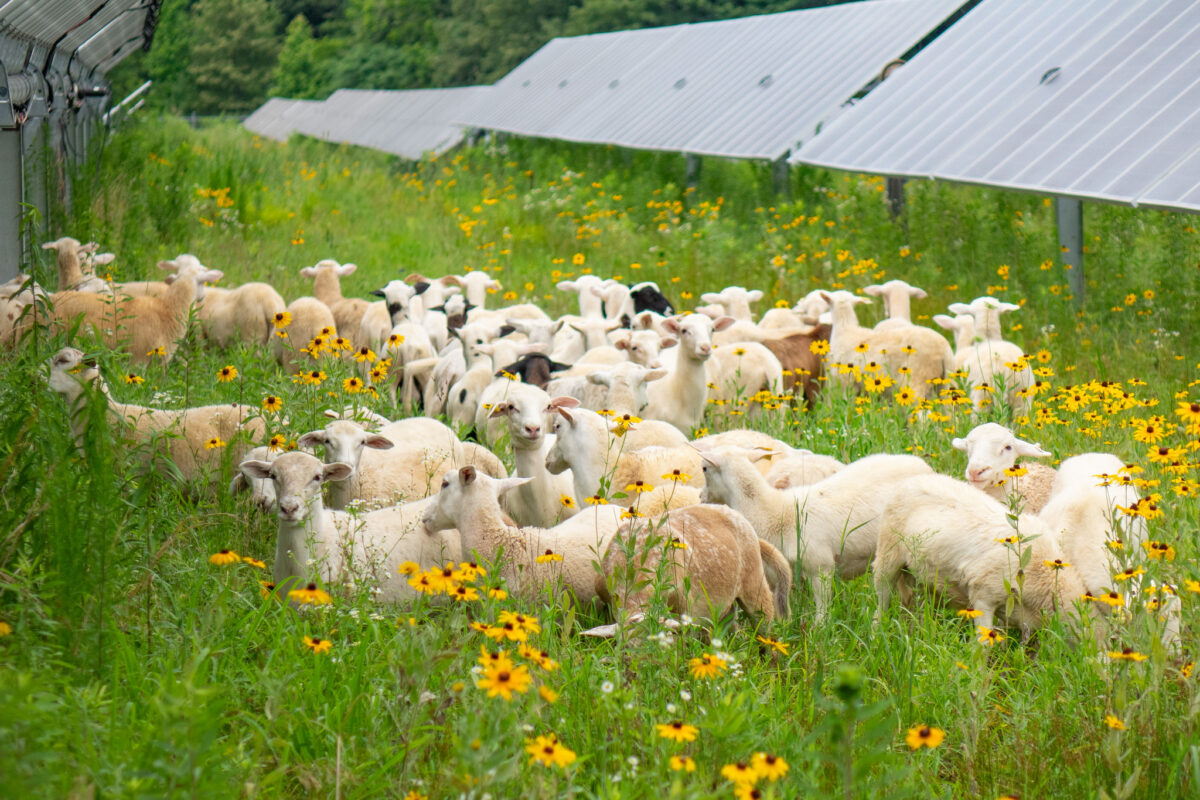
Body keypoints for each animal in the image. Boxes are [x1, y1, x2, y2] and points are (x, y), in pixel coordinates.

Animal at [698, 449, 933, 621]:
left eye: (704, 468)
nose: (700, 497)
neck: (774, 511)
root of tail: (921, 463)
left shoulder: (821, 568)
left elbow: (822, 612)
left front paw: (818, 633)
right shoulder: (784, 574)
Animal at [873, 473, 1090, 640]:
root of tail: (914, 479)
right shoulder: (983, 596)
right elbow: (983, 644)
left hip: (922, 577)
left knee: (913, 605)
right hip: (887, 554)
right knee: (882, 600)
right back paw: (877, 634)